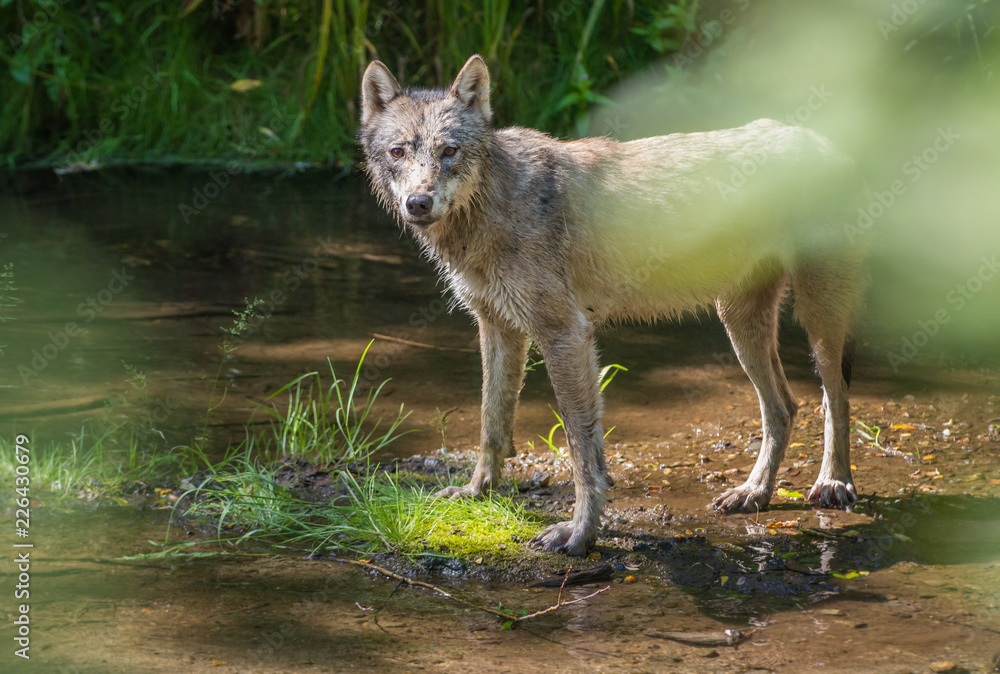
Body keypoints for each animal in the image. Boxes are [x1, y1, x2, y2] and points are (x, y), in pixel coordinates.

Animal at [358, 55, 867, 556]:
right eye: (398, 152)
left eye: (449, 152)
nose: (418, 202)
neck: (490, 208)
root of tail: (824, 141)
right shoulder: (498, 329)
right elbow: (492, 422)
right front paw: (475, 492)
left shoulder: (565, 335)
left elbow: (581, 449)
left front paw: (580, 533)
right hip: (739, 324)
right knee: (784, 406)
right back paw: (754, 493)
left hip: (816, 320)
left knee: (834, 398)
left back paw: (833, 483)